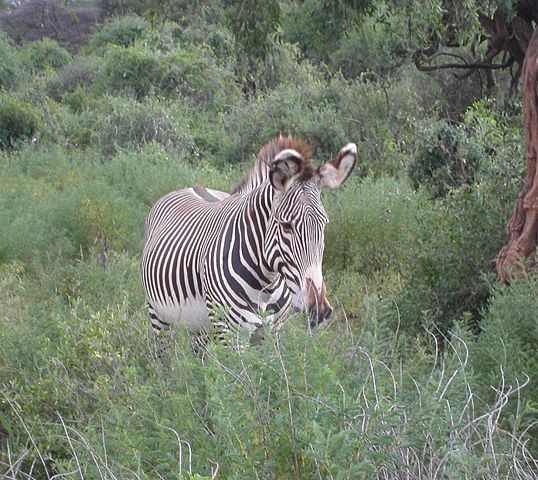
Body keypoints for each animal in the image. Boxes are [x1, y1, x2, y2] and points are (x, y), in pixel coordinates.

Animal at [140, 135, 354, 344]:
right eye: (286, 226)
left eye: (324, 224)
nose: (318, 309)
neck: (268, 284)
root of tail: (190, 187)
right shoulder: (229, 333)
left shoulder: (273, 332)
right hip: (158, 316)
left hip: (199, 326)